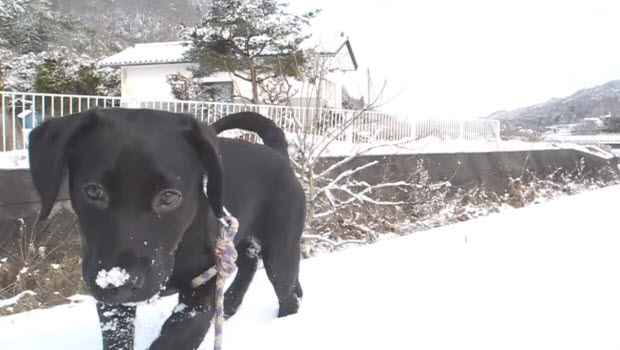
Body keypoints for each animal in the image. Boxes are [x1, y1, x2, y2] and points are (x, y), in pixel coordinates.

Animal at [29, 109, 306, 350]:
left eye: (169, 197)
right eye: (94, 191)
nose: (121, 282)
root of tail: (278, 154)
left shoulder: (204, 281)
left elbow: (178, 335)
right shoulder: (109, 296)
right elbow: (117, 335)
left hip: (280, 251)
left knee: (286, 293)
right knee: (249, 263)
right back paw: (229, 305)